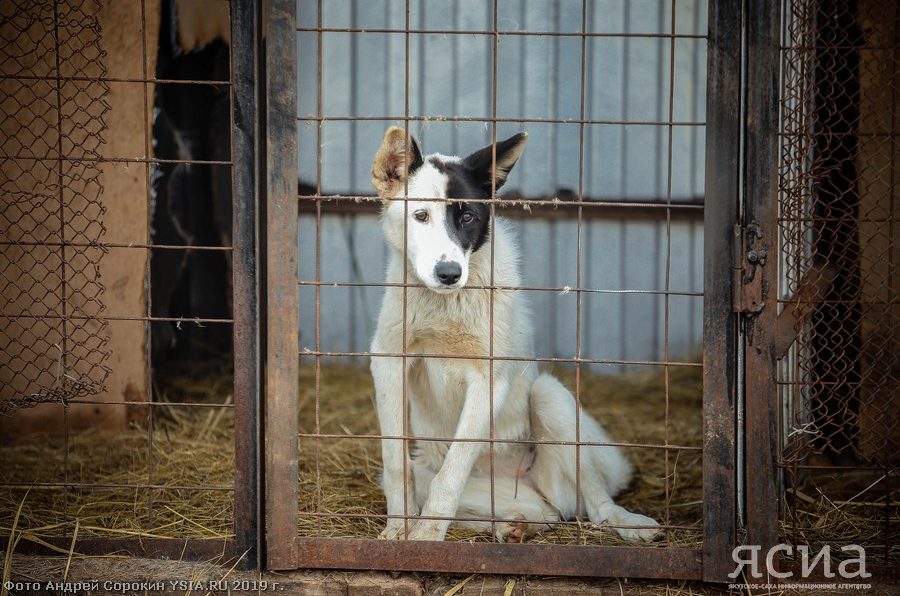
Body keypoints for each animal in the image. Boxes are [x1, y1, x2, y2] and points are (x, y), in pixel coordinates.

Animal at [368, 128, 660, 544]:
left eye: (468, 216)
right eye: (420, 216)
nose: (449, 273)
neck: (446, 303)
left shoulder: (488, 380)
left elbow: (452, 473)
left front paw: (426, 537)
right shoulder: (389, 360)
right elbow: (396, 464)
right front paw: (398, 529)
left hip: (550, 399)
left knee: (596, 503)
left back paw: (627, 522)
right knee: (544, 513)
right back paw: (512, 525)